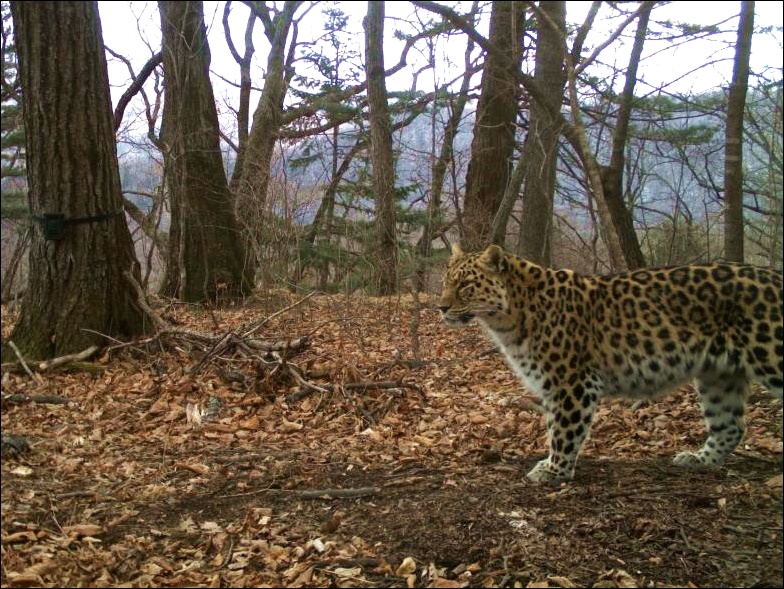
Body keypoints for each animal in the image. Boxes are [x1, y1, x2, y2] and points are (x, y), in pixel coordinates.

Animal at [438, 243, 780, 482]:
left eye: (466, 285)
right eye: (446, 280)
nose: (440, 307)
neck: (508, 318)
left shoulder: (573, 382)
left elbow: (564, 429)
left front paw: (554, 470)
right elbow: (553, 425)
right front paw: (551, 465)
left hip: (771, 357)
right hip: (717, 375)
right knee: (731, 425)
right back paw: (700, 460)